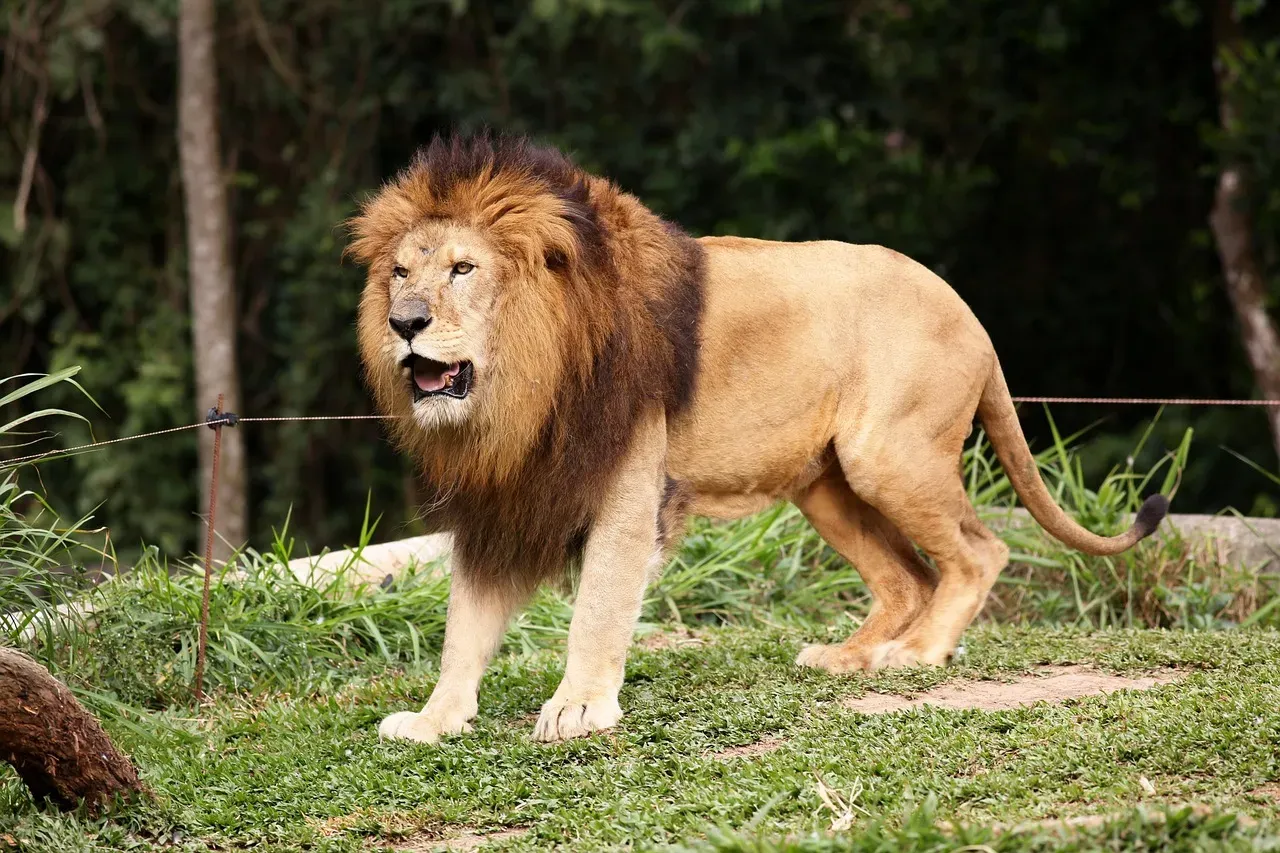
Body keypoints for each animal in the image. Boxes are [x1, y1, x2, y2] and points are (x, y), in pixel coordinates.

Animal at [347, 132, 1169, 744]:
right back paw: (847, 657)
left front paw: (578, 706)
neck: (521, 387)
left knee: (978, 552)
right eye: (400, 272)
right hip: (827, 485)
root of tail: (969, 312)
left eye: (463, 268)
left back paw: (915, 654)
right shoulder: (502, 499)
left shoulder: (628, 487)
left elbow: (598, 607)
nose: (405, 322)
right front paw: (433, 720)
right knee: (909, 576)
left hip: (887, 455)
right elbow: (465, 623)